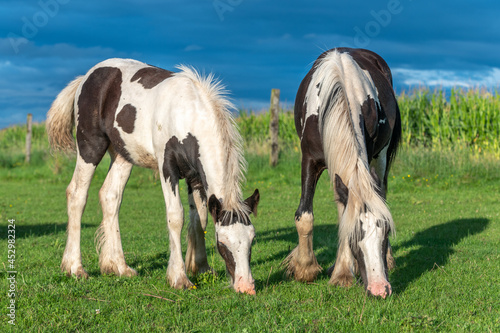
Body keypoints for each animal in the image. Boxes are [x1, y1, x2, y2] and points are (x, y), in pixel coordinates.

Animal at [46, 58, 262, 294]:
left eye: (252, 240)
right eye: (222, 243)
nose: (246, 287)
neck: (187, 113)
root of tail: (86, 77)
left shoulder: (195, 176)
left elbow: (200, 219)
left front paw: (200, 268)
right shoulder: (167, 168)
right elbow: (176, 216)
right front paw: (179, 277)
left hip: (123, 156)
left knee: (110, 197)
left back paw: (118, 266)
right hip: (90, 147)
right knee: (77, 195)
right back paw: (74, 268)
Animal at [286, 47, 402, 298]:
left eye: (386, 231)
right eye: (354, 236)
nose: (379, 289)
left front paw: (343, 274)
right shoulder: (310, 160)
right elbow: (305, 216)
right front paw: (305, 269)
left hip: (381, 157)